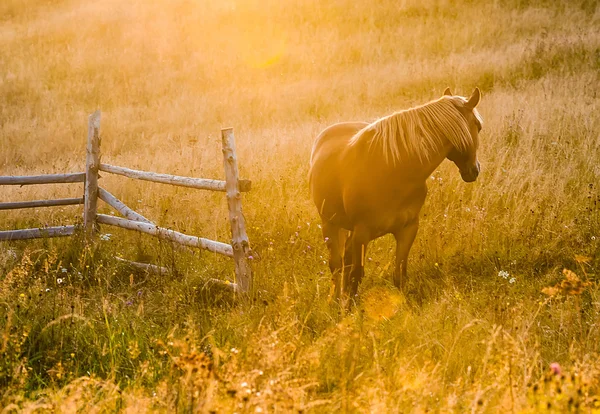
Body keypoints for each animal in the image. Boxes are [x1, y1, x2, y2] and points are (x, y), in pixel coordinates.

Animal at [310, 87, 482, 300]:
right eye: (478, 126)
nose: (475, 170)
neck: (395, 169)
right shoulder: (361, 234)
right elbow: (356, 275)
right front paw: (349, 306)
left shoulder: (408, 229)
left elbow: (399, 274)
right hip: (330, 223)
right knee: (336, 265)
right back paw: (334, 300)